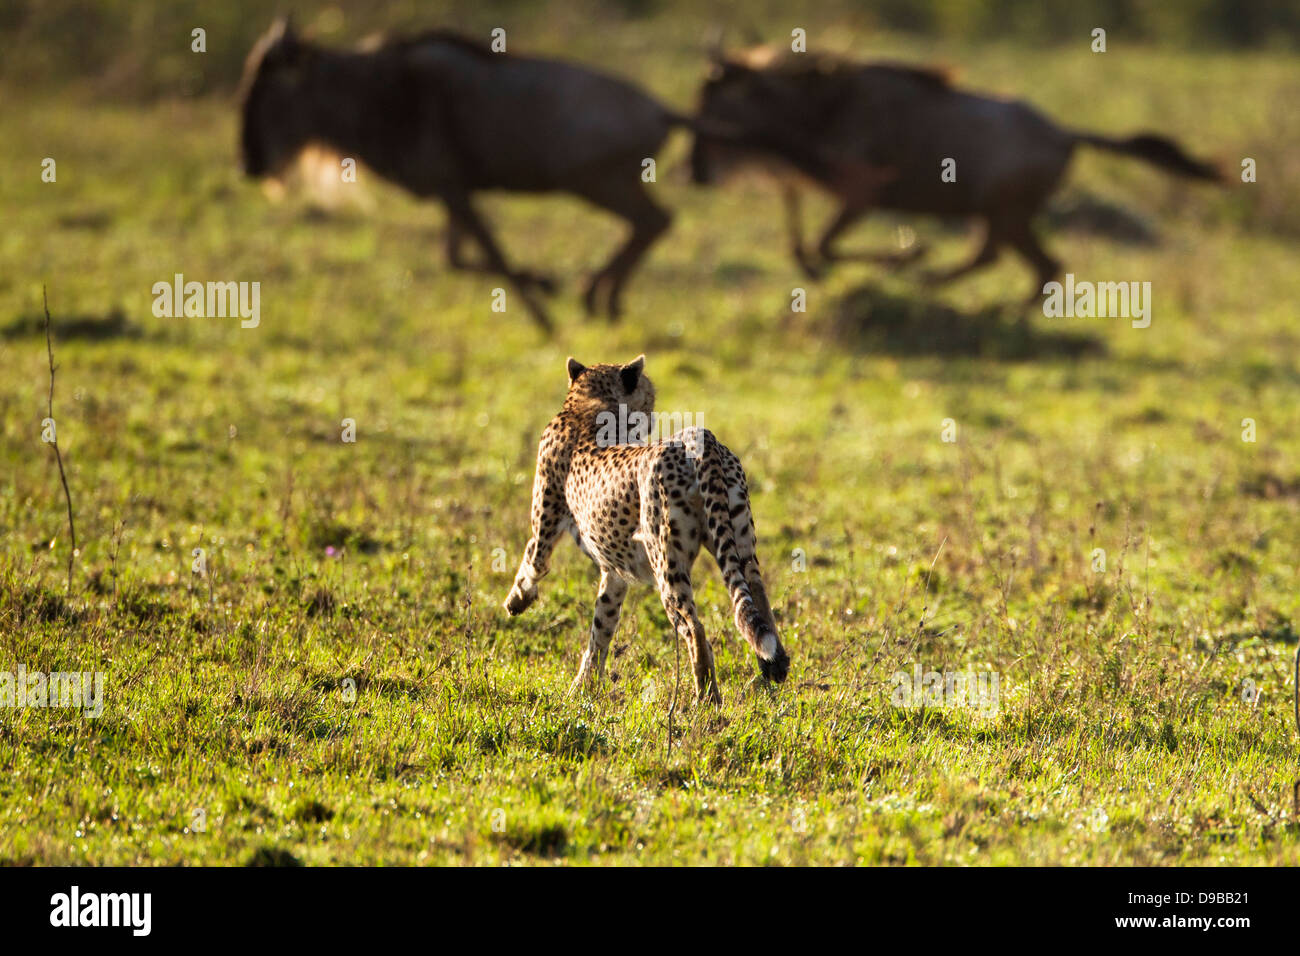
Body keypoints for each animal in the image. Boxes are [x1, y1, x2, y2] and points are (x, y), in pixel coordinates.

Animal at [499, 353, 785, 702]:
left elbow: (532, 562)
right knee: (758, 597)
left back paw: (706, 699)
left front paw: (516, 601)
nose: (651, 412)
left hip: (666, 560)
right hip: (740, 540)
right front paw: (583, 687)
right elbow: (601, 627)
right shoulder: (615, 573)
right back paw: (775, 665)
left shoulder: (545, 529)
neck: (586, 403)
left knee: (694, 626)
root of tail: (699, 436)